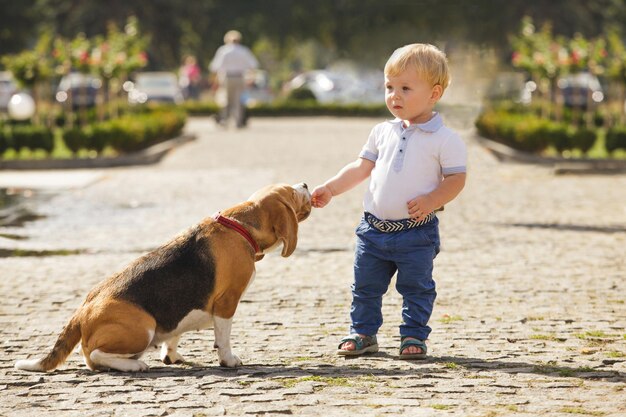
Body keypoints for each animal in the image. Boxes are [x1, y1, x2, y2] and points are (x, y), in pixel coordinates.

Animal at [16, 182, 312, 370]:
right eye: (290, 192)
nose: (306, 184)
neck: (239, 225)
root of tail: (82, 310)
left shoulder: (178, 311)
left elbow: (174, 333)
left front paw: (171, 355)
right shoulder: (227, 303)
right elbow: (224, 338)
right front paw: (228, 360)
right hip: (142, 327)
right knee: (91, 355)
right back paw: (133, 366)